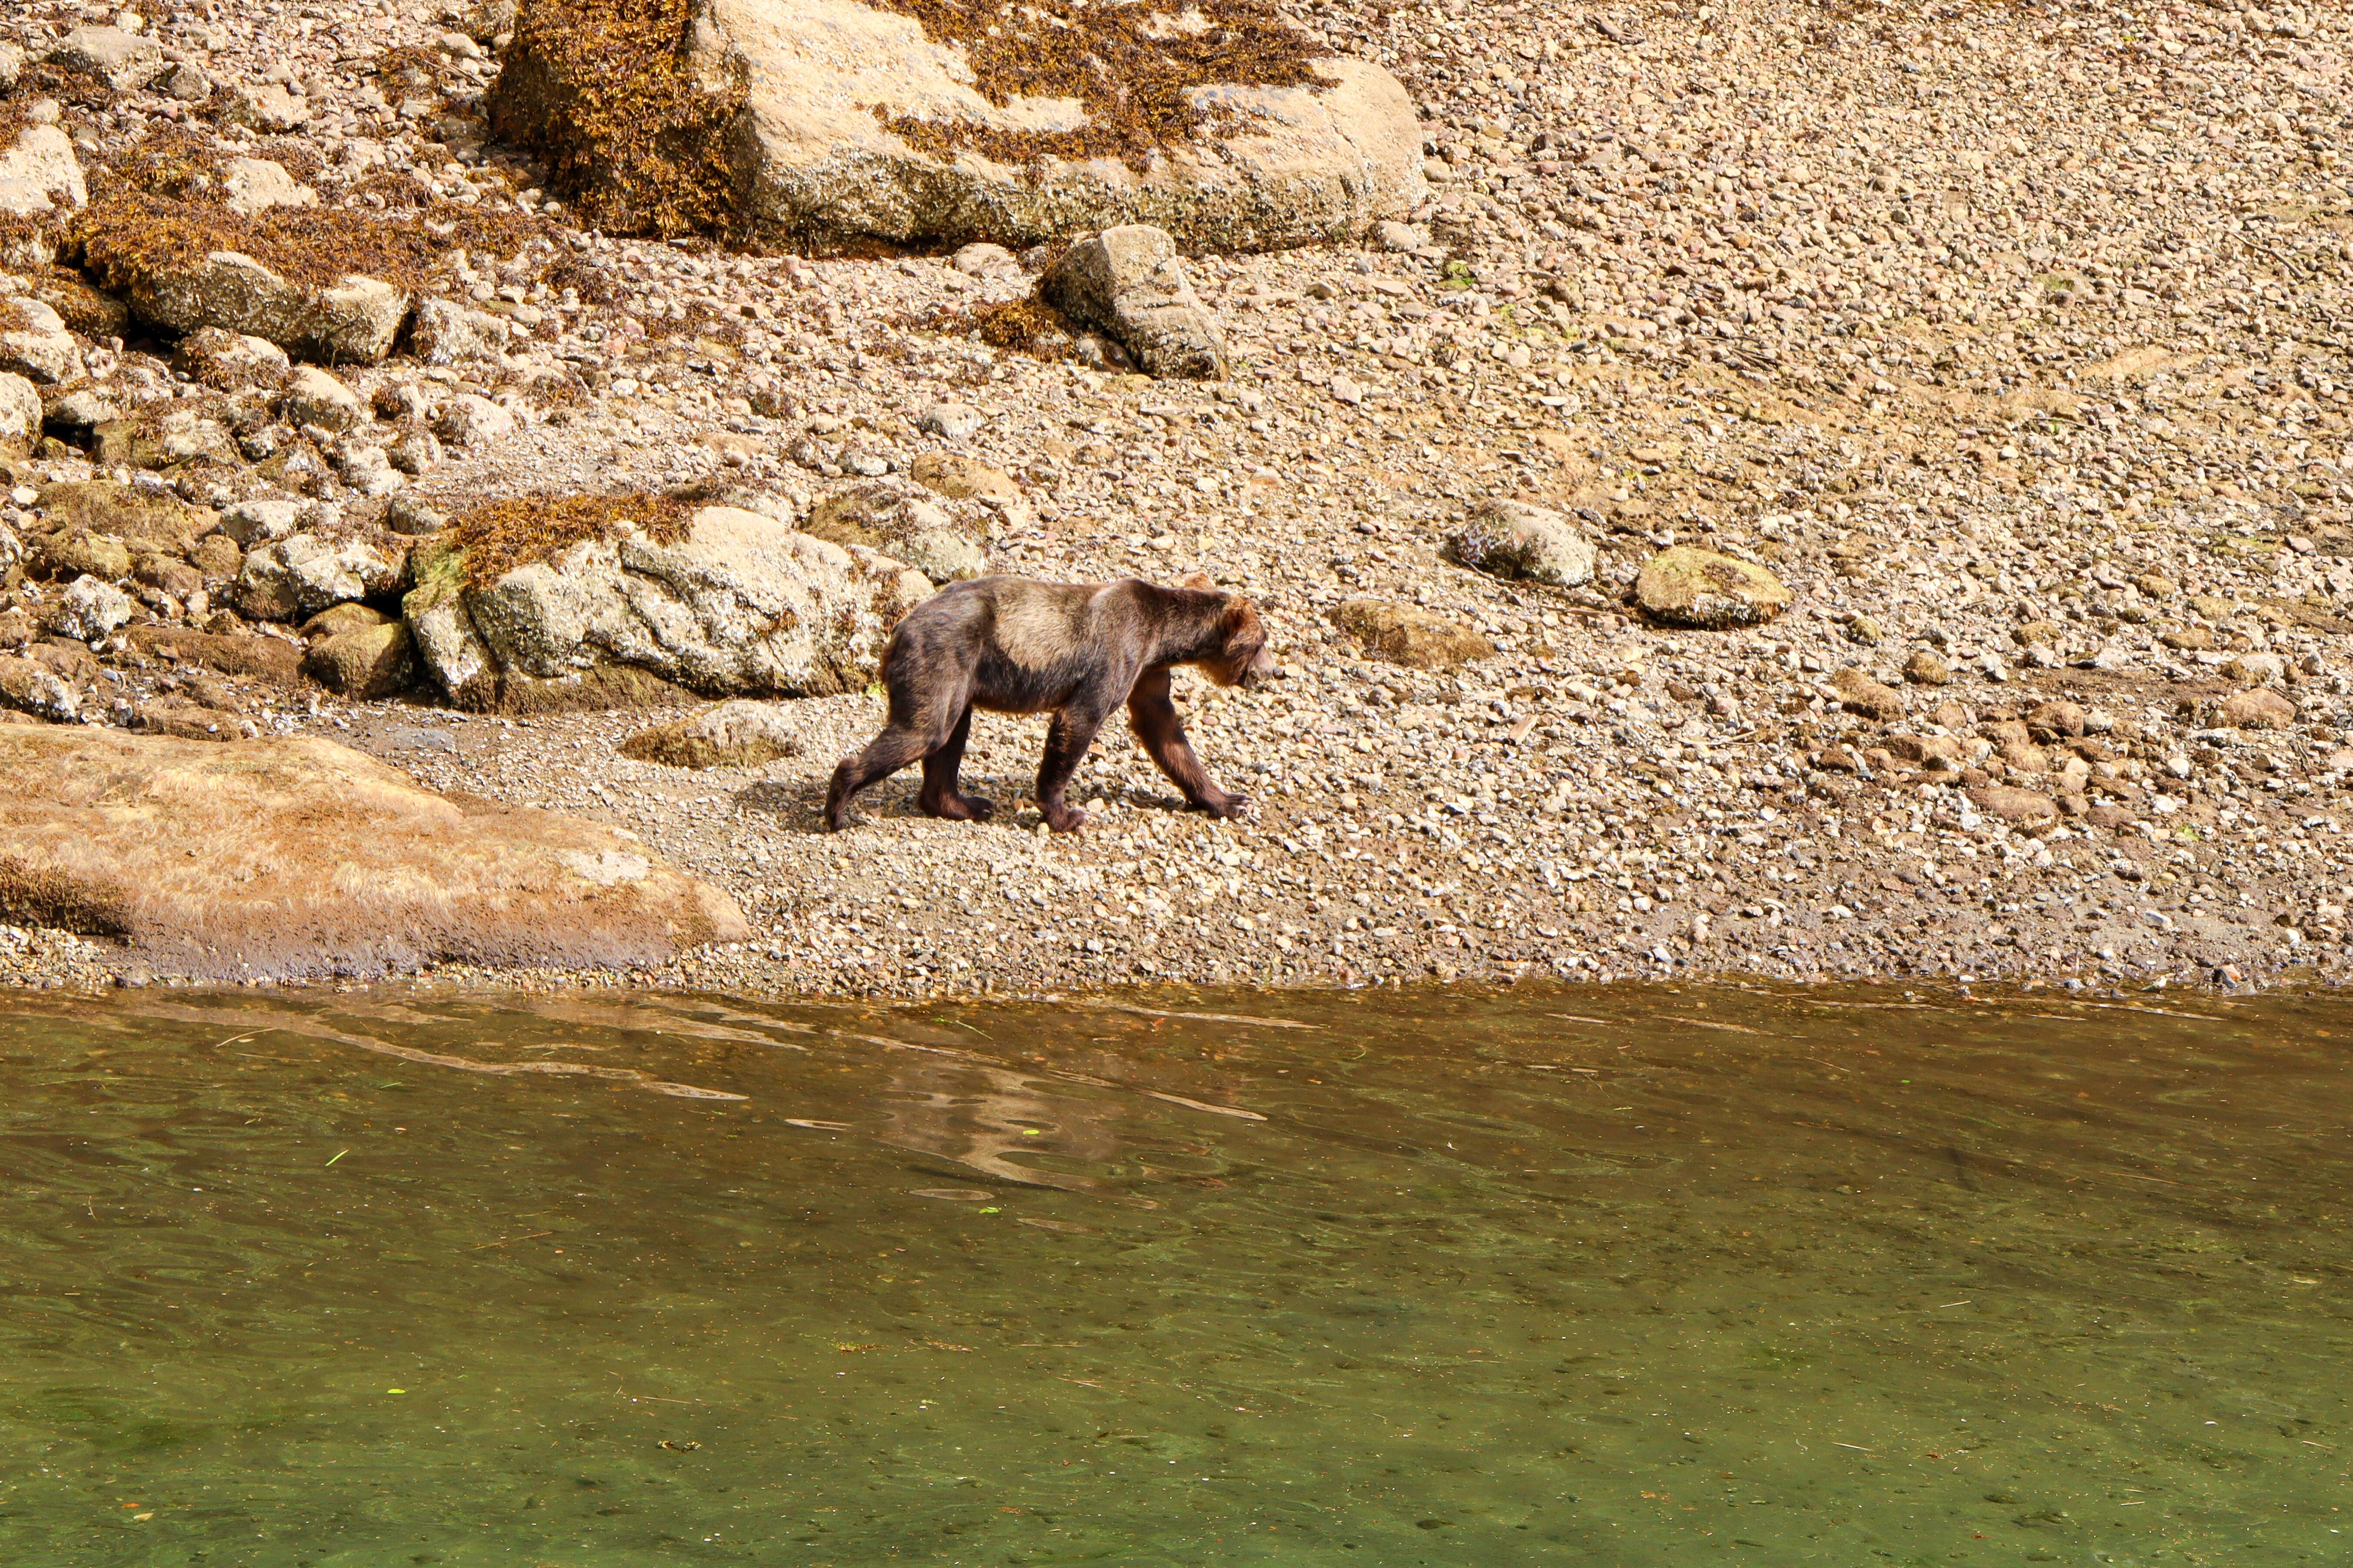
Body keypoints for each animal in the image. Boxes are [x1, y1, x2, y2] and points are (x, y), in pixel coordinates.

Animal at [825, 572, 1274, 834]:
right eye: (1261, 642)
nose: (1273, 672)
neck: (1163, 639)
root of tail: (897, 629)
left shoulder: (1147, 672)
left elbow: (1164, 731)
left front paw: (1228, 800)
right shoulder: (1117, 651)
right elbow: (1079, 719)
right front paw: (1066, 814)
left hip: (959, 676)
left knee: (951, 733)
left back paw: (964, 804)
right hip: (944, 654)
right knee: (927, 731)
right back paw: (838, 807)